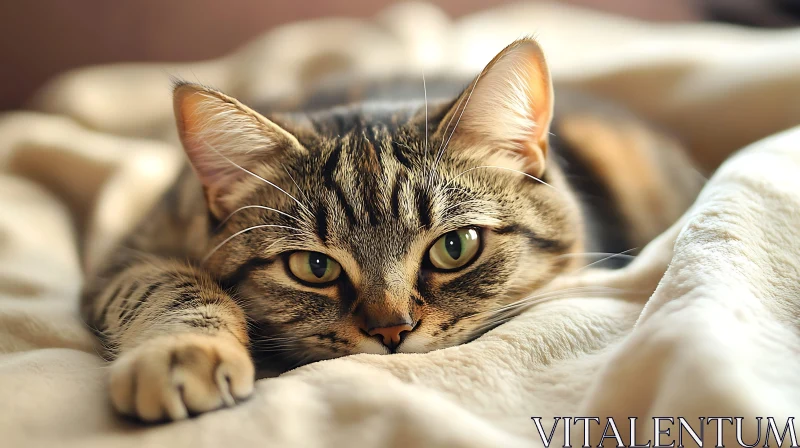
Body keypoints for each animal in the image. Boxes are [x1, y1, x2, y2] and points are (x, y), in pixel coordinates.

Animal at [78, 37, 696, 420]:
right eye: (314, 266)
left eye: (455, 247)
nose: (392, 331)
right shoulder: (130, 253)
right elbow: (168, 286)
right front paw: (180, 352)